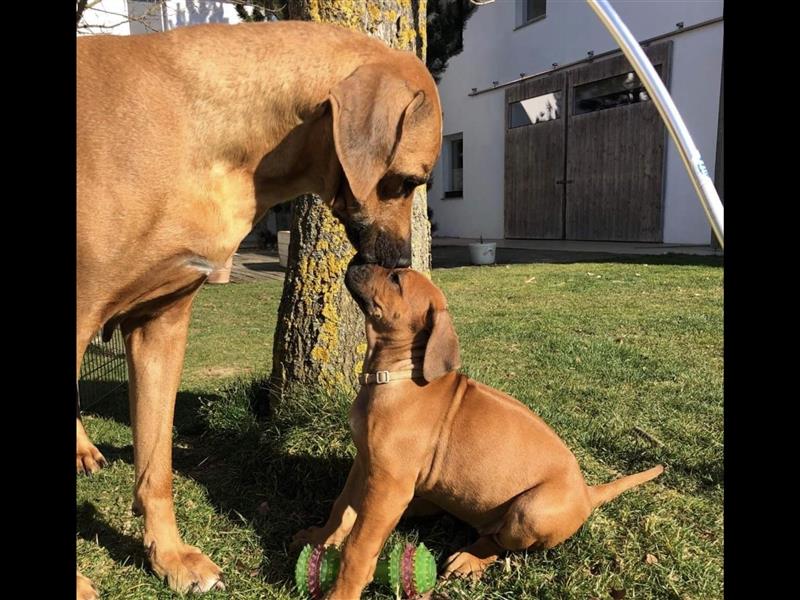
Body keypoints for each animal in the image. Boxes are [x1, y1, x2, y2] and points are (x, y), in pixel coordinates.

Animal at [292, 264, 664, 596]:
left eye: (396, 278)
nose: (356, 260)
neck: (392, 375)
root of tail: (587, 493)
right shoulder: (365, 462)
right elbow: (342, 506)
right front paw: (320, 538)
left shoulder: (388, 483)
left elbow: (359, 544)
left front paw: (342, 591)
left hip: (530, 511)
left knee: (500, 541)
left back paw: (470, 558)